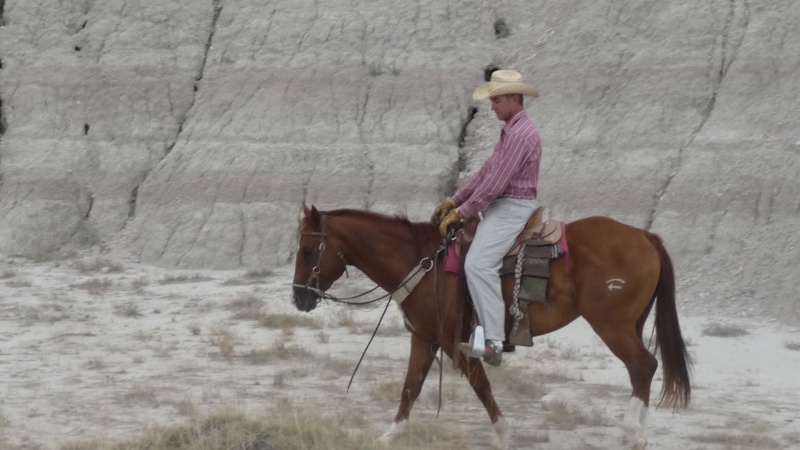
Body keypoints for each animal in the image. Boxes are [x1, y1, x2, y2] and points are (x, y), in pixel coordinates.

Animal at [290, 205, 692, 450]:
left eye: (308, 251)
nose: (298, 298)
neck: (424, 265)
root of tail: (644, 236)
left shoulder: (457, 344)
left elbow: (481, 387)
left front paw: (503, 434)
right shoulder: (424, 338)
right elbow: (411, 388)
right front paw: (391, 434)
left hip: (611, 325)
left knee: (643, 366)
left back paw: (632, 433)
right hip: (632, 324)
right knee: (643, 369)